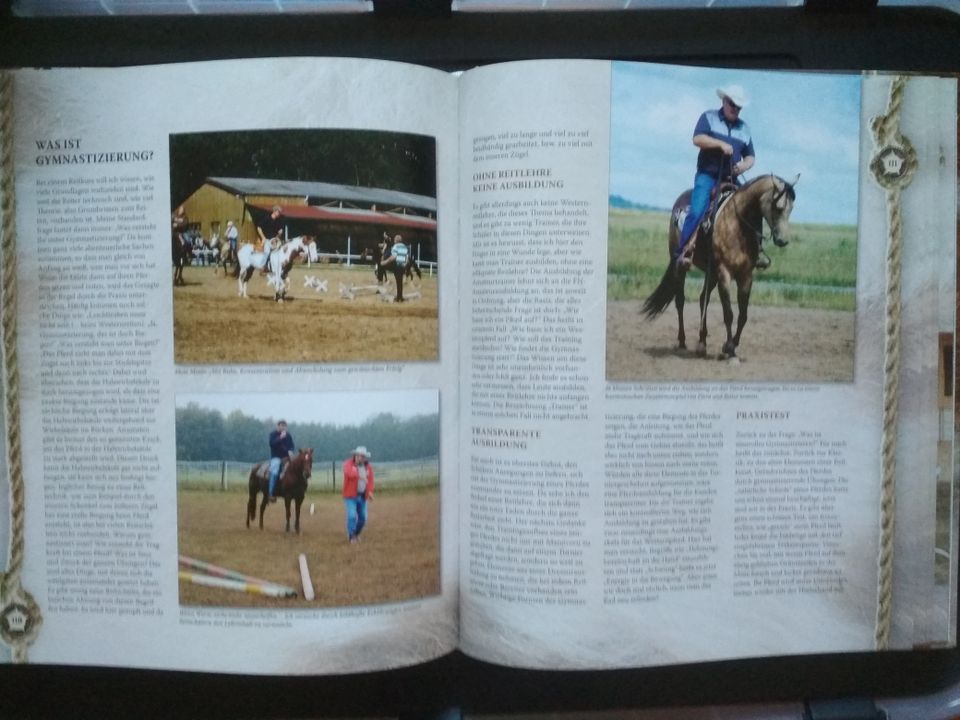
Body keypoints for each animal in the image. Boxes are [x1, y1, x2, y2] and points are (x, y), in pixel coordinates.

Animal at [644, 174, 796, 360]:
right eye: (778, 207)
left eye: (791, 208)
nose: (783, 240)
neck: (738, 225)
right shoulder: (724, 273)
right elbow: (728, 313)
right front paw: (729, 348)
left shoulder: (746, 276)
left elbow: (743, 315)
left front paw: (731, 345)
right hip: (682, 267)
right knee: (680, 301)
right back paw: (682, 342)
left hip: (711, 274)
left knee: (703, 299)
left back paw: (702, 343)